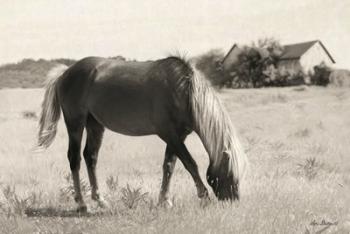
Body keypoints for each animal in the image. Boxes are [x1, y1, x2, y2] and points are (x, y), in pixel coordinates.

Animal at [37, 55, 247, 211]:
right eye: (230, 173)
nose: (233, 201)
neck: (184, 92)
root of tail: (65, 72)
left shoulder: (177, 137)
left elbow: (169, 166)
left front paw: (164, 201)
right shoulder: (170, 135)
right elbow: (190, 164)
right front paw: (203, 196)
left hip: (95, 125)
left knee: (90, 157)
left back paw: (100, 200)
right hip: (75, 123)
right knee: (75, 159)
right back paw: (81, 204)